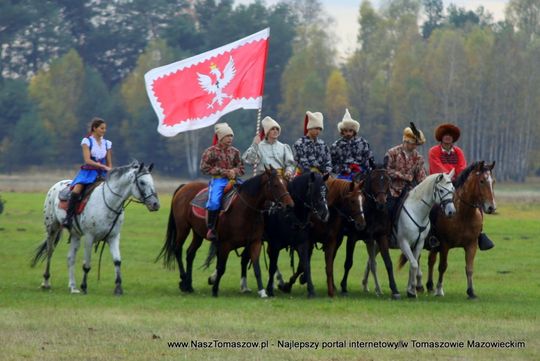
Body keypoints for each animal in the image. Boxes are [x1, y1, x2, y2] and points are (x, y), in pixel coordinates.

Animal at [31, 162, 159, 294]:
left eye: (152, 181)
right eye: (142, 182)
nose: (155, 204)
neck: (109, 203)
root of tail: (57, 185)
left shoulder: (113, 237)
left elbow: (117, 261)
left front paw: (118, 288)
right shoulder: (89, 237)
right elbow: (86, 265)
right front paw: (84, 286)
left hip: (75, 234)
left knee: (70, 258)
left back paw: (73, 287)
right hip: (52, 228)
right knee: (50, 251)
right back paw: (46, 283)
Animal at [156, 167, 296, 296]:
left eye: (286, 183)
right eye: (276, 185)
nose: (290, 205)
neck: (245, 211)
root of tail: (184, 186)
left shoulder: (255, 242)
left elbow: (256, 268)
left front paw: (262, 291)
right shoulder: (225, 244)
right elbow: (221, 267)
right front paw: (214, 290)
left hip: (197, 233)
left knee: (190, 253)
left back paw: (189, 286)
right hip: (183, 228)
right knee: (177, 250)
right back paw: (184, 280)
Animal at [338, 166, 404, 298]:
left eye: (388, 180)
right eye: (374, 180)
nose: (381, 203)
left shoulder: (380, 237)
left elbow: (388, 263)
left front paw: (394, 289)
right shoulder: (352, 237)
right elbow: (348, 262)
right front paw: (343, 286)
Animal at [426, 160, 498, 298]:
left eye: (493, 181)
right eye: (482, 181)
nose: (492, 208)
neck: (463, 214)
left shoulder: (471, 245)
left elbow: (469, 268)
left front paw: (471, 291)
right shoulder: (444, 245)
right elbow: (442, 266)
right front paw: (439, 289)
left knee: (431, 260)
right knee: (429, 260)